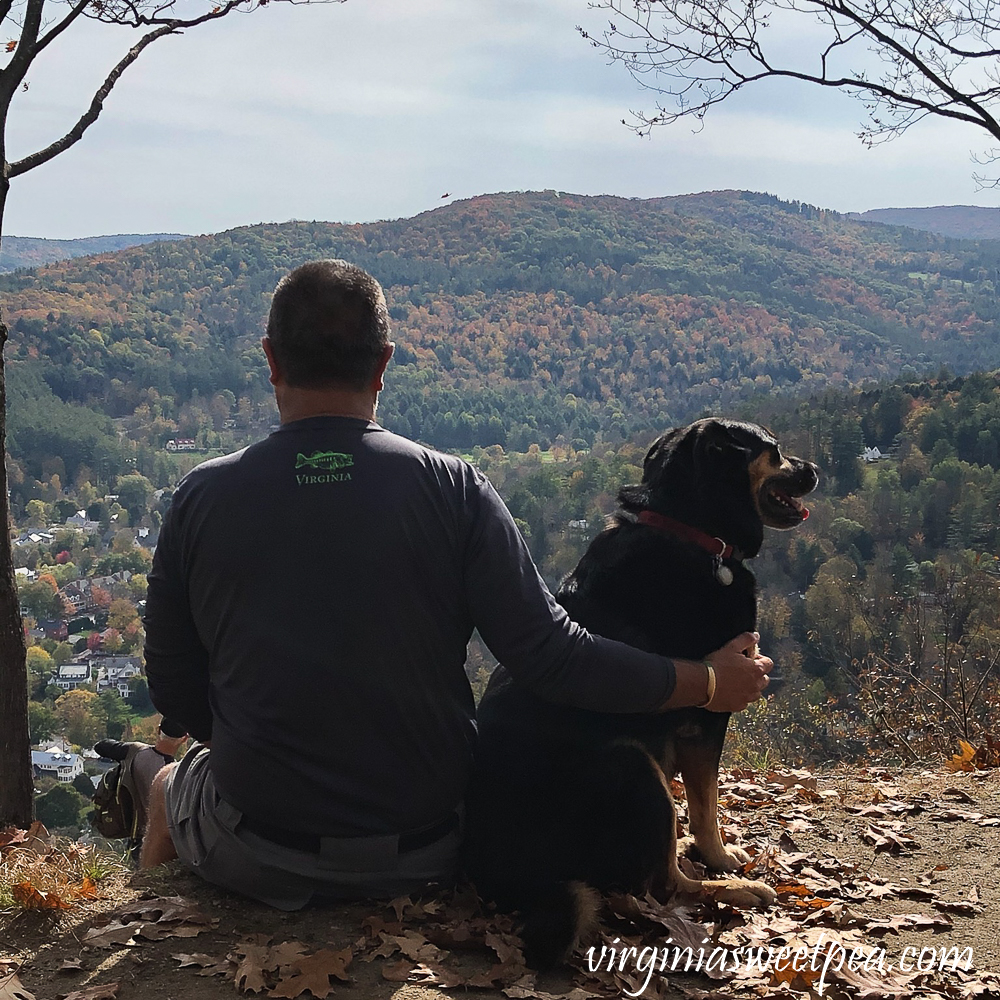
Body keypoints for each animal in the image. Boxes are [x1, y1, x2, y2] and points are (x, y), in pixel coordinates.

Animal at [464, 416, 816, 968]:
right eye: (775, 450)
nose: (816, 470)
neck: (688, 527)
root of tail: (514, 879)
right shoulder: (707, 713)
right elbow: (706, 806)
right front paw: (719, 859)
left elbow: (703, 804)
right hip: (633, 767)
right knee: (662, 885)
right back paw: (733, 890)